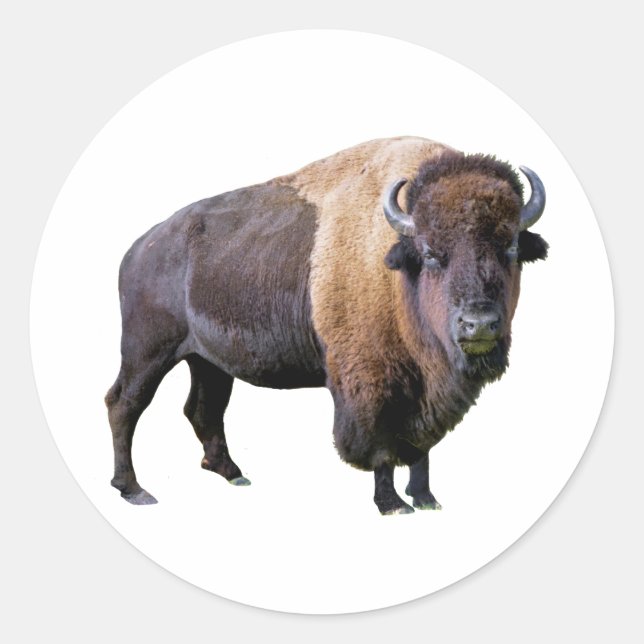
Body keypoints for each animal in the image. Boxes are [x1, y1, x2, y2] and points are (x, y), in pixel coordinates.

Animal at [105, 136, 547, 514]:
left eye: (510, 248)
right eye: (431, 253)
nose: (479, 325)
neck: (395, 270)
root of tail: (138, 249)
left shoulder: (425, 392)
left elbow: (421, 447)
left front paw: (426, 499)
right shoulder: (368, 385)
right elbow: (380, 447)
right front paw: (392, 505)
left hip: (208, 361)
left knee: (202, 409)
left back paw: (232, 474)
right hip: (148, 352)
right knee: (124, 404)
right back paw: (134, 490)